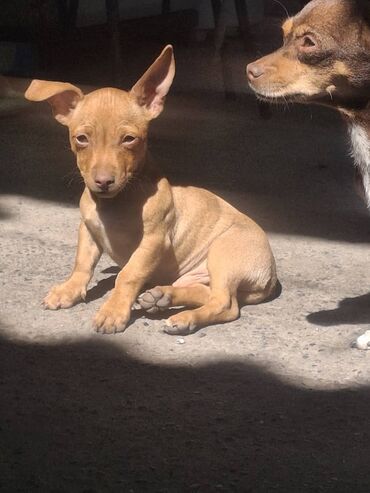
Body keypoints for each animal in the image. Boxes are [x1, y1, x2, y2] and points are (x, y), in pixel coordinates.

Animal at [23, 45, 278, 334]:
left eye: (129, 139)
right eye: (81, 139)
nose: (103, 181)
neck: (116, 202)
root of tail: (271, 275)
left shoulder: (153, 241)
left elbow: (127, 274)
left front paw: (113, 310)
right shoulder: (88, 230)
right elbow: (82, 264)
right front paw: (69, 290)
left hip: (223, 254)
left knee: (225, 303)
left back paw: (184, 318)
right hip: (194, 276)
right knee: (207, 292)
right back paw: (163, 297)